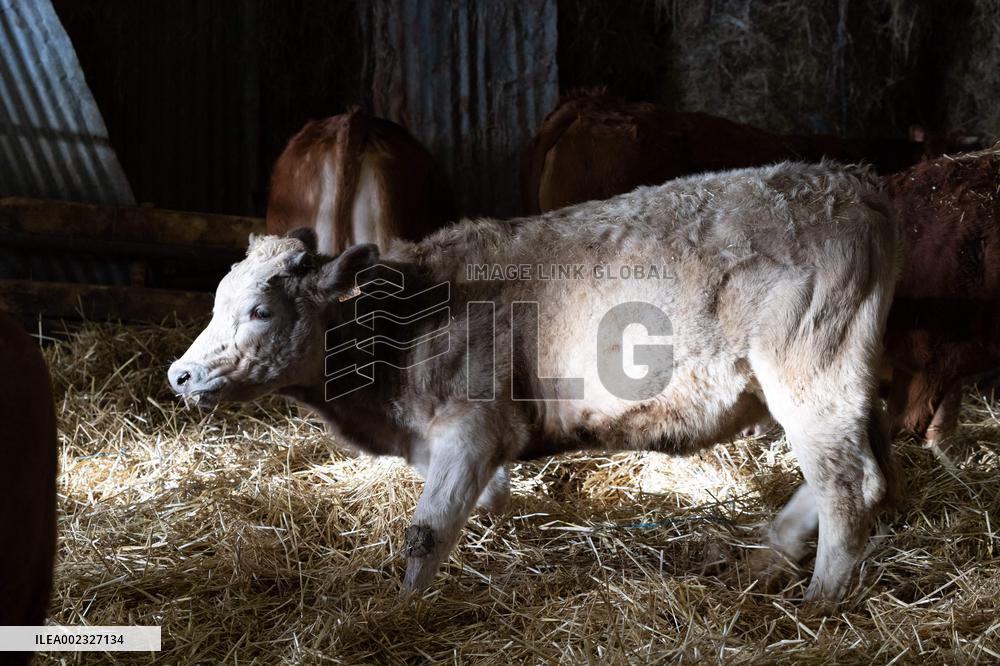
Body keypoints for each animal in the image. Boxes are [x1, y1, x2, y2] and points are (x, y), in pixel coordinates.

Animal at [170, 161, 901, 606]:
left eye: (260, 311)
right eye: (217, 301)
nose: (180, 373)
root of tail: (850, 184)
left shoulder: (474, 424)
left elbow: (427, 529)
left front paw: (403, 606)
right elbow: (487, 503)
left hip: (811, 375)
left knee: (845, 486)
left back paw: (820, 599)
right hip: (840, 387)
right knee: (859, 476)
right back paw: (766, 554)